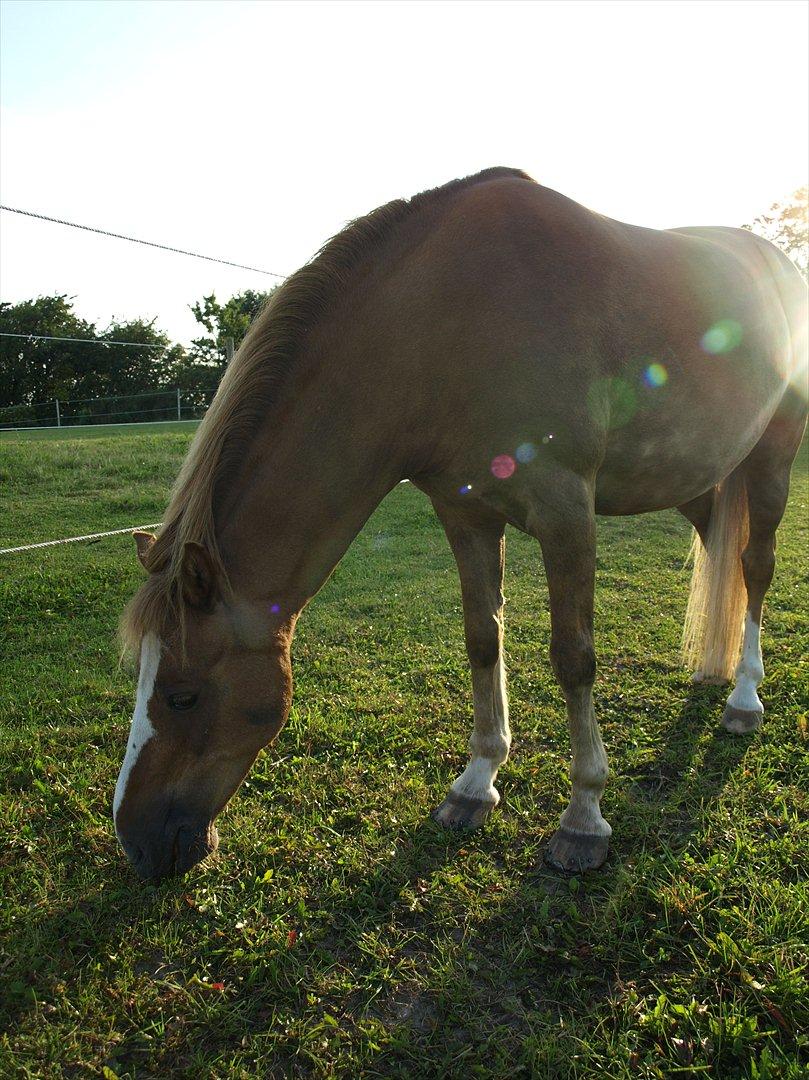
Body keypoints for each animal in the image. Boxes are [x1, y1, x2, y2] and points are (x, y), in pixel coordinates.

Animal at [114, 167, 807, 879]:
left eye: (182, 695)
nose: (136, 841)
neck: (448, 327)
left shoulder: (566, 511)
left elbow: (574, 657)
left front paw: (584, 816)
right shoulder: (465, 515)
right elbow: (482, 639)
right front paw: (476, 783)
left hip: (772, 458)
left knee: (754, 567)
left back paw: (743, 698)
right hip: (691, 479)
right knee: (719, 551)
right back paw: (713, 669)